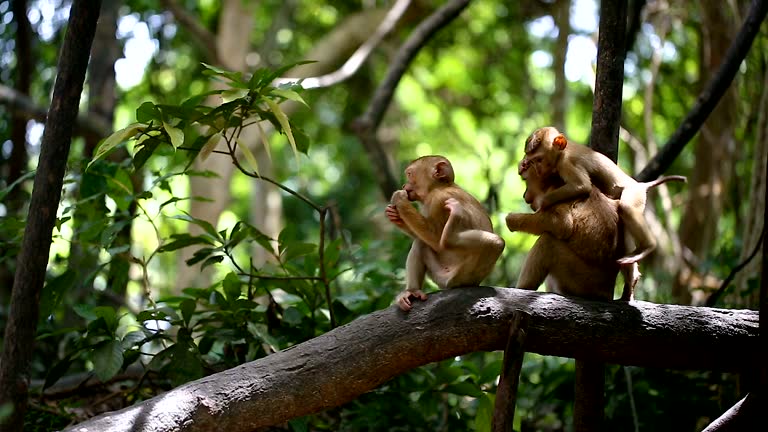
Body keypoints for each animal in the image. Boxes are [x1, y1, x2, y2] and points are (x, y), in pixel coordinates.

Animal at [385, 155, 506, 311]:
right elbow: (424, 238)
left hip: (458, 276)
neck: (440, 187)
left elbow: (436, 240)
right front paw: (395, 216)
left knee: (496, 243)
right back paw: (412, 291)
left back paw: (451, 238)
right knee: (420, 244)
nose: (404, 186)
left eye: (410, 174)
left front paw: (399, 199)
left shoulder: (439, 200)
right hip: (439, 274)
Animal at [506, 157, 639, 301]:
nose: (525, 195)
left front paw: (512, 220)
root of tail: (606, 290)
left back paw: (523, 288)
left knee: (548, 242)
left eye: (527, 181)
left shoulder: (555, 193)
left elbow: (562, 224)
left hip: (581, 279)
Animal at [522, 126, 686, 265]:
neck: (563, 152)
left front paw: (543, 203)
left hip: (635, 193)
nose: (538, 169)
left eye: (539, 159)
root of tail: (640, 185)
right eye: (533, 161)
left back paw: (648, 247)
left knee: (627, 208)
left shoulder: (567, 163)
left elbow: (582, 186)